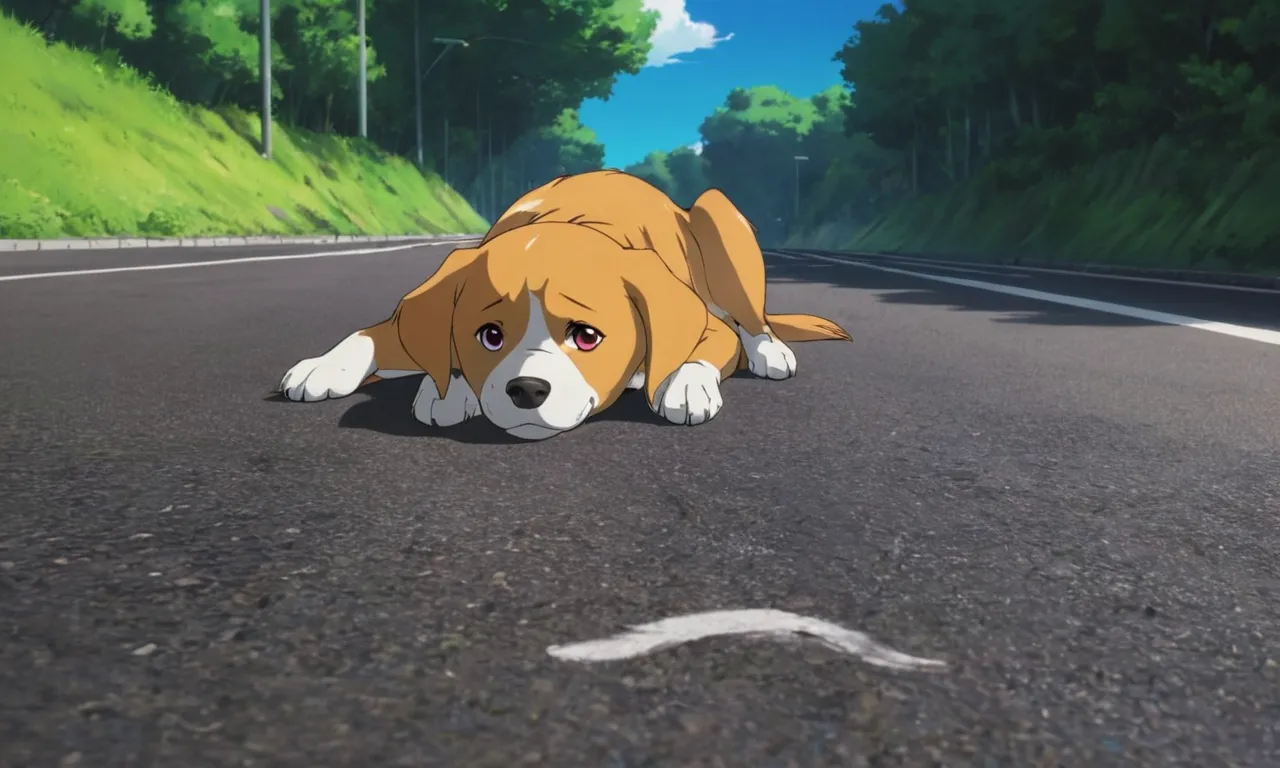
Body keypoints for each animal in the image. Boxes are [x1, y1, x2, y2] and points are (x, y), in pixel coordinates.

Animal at [285, 171, 855, 440]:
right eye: (490, 336)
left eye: (586, 336)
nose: (526, 389)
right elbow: (373, 333)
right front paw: (323, 367)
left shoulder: (707, 327)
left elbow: (701, 349)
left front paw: (686, 386)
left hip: (718, 212)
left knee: (753, 320)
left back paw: (770, 352)